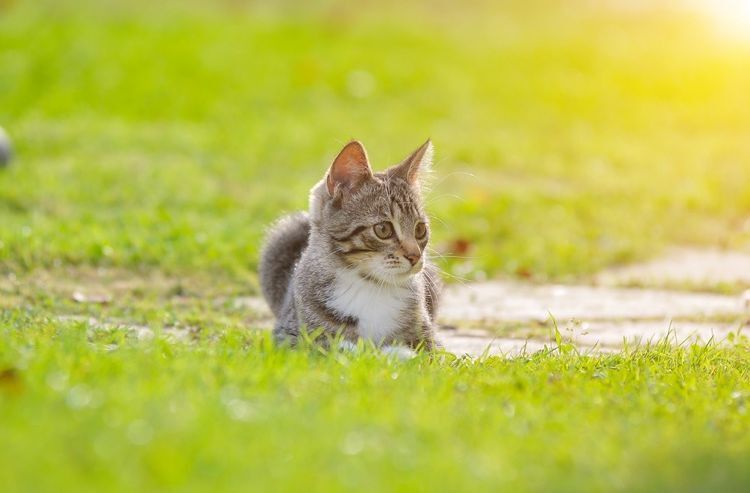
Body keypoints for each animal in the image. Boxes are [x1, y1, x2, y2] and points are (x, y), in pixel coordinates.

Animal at [262, 138, 444, 350]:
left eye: (420, 229)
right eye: (383, 229)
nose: (415, 256)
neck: (370, 287)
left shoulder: (430, 337)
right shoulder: (288, 335)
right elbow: (326, 345)